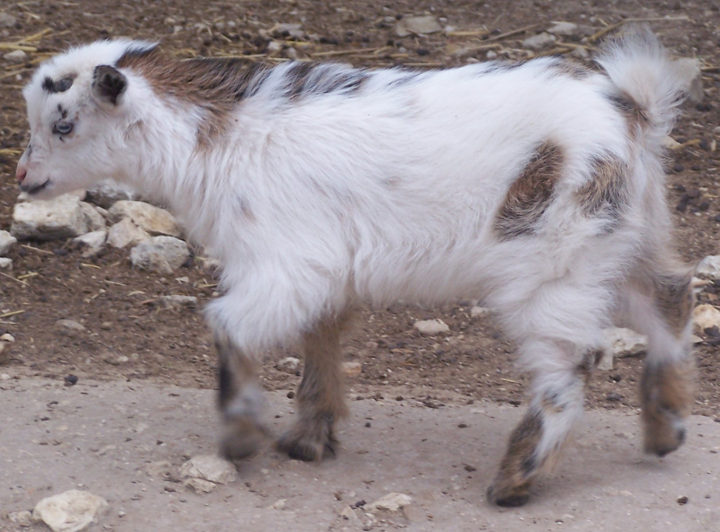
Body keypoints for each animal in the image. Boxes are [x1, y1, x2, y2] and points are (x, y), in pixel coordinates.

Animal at [16, 26, 696, 508]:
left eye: (64, 124)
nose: (23, 177)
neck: (218, 142)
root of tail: (634, 115)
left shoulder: (287, 263)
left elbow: (228, 325)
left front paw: (241, 438)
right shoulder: (327, 273)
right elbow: (321, 338)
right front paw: (309, 439)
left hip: (555, 258)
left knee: (568, 362)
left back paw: (515, 481)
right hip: (627, 239)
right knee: (670, 297)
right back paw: (665, 429)